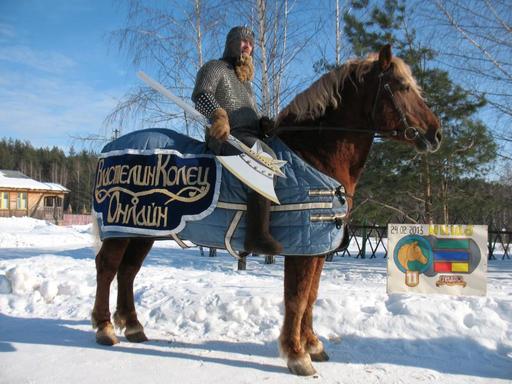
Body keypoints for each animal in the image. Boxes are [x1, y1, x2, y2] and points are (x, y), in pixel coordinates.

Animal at [91, 45, 440, 376]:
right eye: (401, 85)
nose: (436, 133)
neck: (314, 156)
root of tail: (110, 147)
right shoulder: (302, 248)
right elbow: (296, 298)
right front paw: (297, 354)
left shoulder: (316, 250)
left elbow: (311, 296)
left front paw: (312, 344)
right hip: (120, 230)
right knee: (108, 268)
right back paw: (105, 327)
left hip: (142, 231)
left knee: (128, 271)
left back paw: (133, 326)